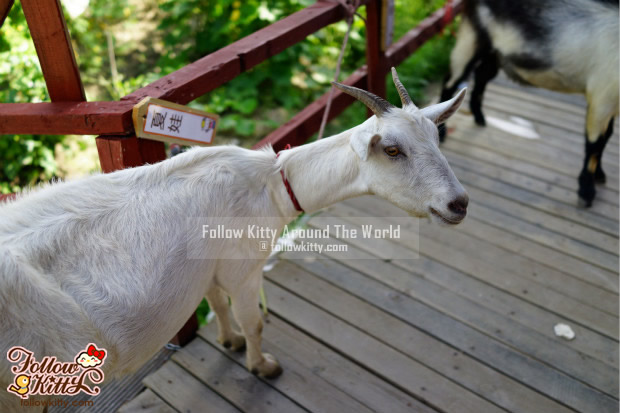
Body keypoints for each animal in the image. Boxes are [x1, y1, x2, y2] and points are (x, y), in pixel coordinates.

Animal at [0, 69, 464, 410]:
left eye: (436, 136)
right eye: (392, 150)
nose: (458, 203)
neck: (272, 184)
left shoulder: (207, 265)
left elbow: (218, 305)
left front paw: (228, 341)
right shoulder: (244, 268)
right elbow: (253, 320)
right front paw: (262, 366)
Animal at [438, 0, 616, 206]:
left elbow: (607, 136)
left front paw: (599, 175)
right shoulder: (603, 93)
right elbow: (595, 145)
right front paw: (586, 192)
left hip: (495, 53)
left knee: (482, 75)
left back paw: (479, 117)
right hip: (471, 39)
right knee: (451, 81)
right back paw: (442, 134)